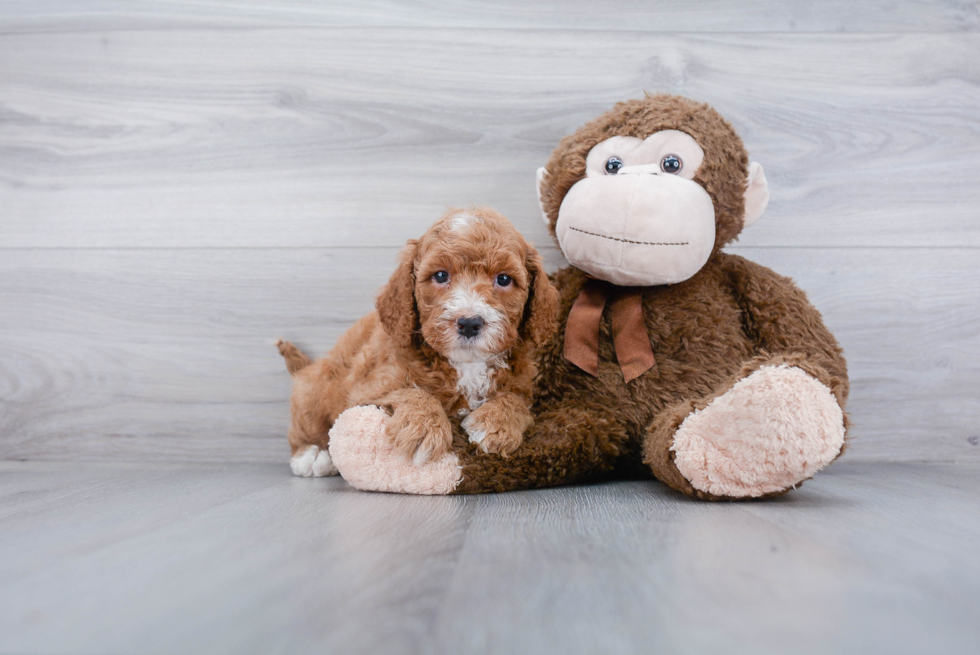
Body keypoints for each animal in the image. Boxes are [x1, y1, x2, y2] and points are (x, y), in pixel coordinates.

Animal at [280, 209, 564, 476]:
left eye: (504, 279)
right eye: (440, 275)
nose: (469, 323)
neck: (467, 365)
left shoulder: (524, 388)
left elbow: (516, 401)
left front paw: (496, 425)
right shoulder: (365, 389)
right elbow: (409, 391)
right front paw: (423, 428)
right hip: (313, 394)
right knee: (304, 429)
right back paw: (312, 456)